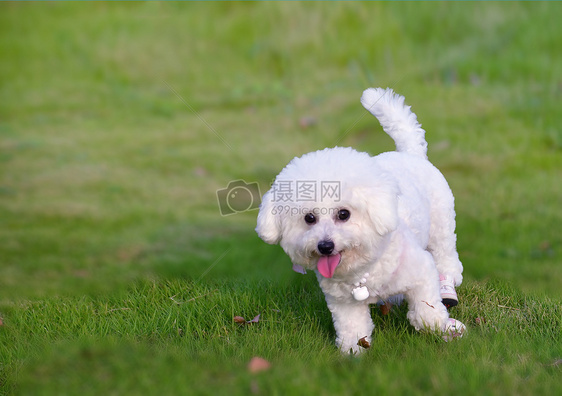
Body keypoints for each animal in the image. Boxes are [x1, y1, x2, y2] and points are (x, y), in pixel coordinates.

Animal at [255, 88, 464, 354]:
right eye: (309, 218)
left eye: (344, 214)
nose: (325, 246)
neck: (361, 272)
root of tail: (409, 153)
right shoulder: (343, 303)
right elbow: (353, 329)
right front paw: (353, 353)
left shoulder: (422, 273)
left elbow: (427, 311)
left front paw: (442, 328)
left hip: (441, 226)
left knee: (446, 255)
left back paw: (448, 280)